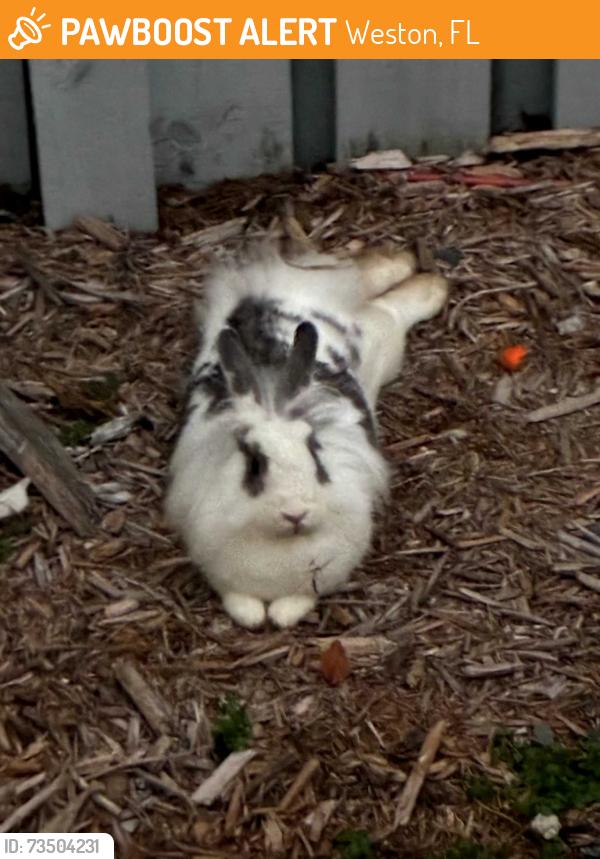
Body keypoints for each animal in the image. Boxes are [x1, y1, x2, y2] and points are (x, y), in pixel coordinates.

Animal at [165, 243, 448, 629]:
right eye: (254, 463)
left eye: (314, 450)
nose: (296, 513)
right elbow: (244, 607)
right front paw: (256, 616)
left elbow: (293, 606)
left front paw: (281, 615)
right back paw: (408, 265)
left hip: (381, 343)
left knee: (383, 300)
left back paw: (427, 280)